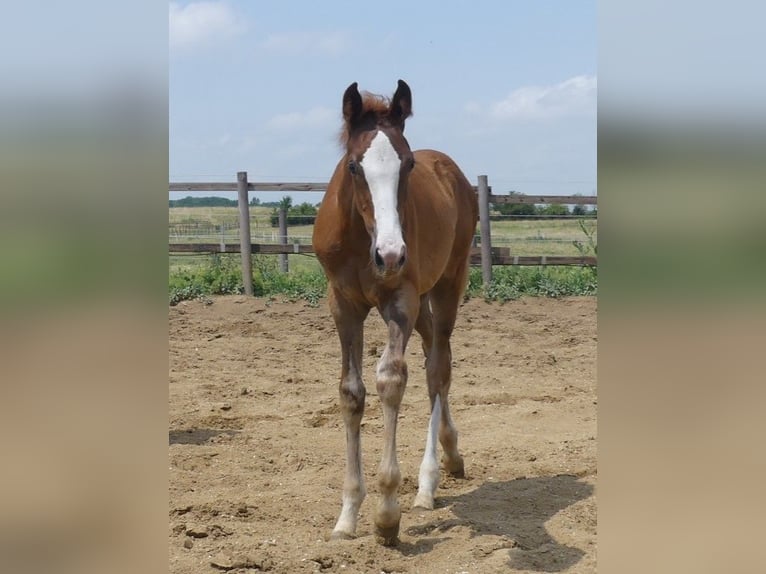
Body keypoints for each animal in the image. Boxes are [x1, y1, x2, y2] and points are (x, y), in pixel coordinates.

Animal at [312, 79, 480, 548]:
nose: (390, 255)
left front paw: (387, 512)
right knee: (432, 357)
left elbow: (390, 380)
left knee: (439, 368)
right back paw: (450, 455)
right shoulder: (343, 305)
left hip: (447, 285)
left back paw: (428, 481)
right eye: (354, 166)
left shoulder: (399, 301)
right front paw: (347, 515)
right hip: (422, 301)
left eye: (407, 164)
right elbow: (351, 392)